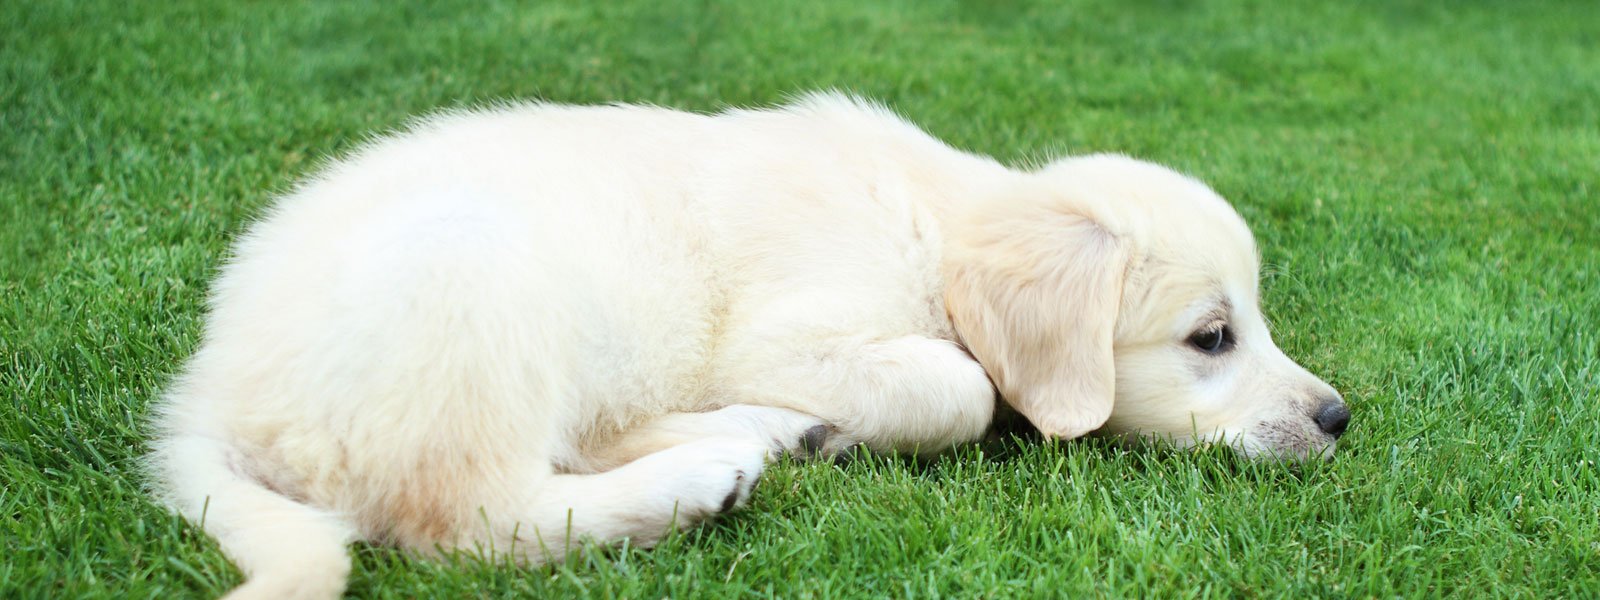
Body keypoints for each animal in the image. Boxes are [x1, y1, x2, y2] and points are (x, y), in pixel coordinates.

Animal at [147, 91, 1350, 598]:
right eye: (1210, 337)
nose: (1338, 417)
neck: (934, 228)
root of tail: (209, 391)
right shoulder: (790, 334)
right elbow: (962, 386)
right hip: (469, 278)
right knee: (468, 518)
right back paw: (701, 473)